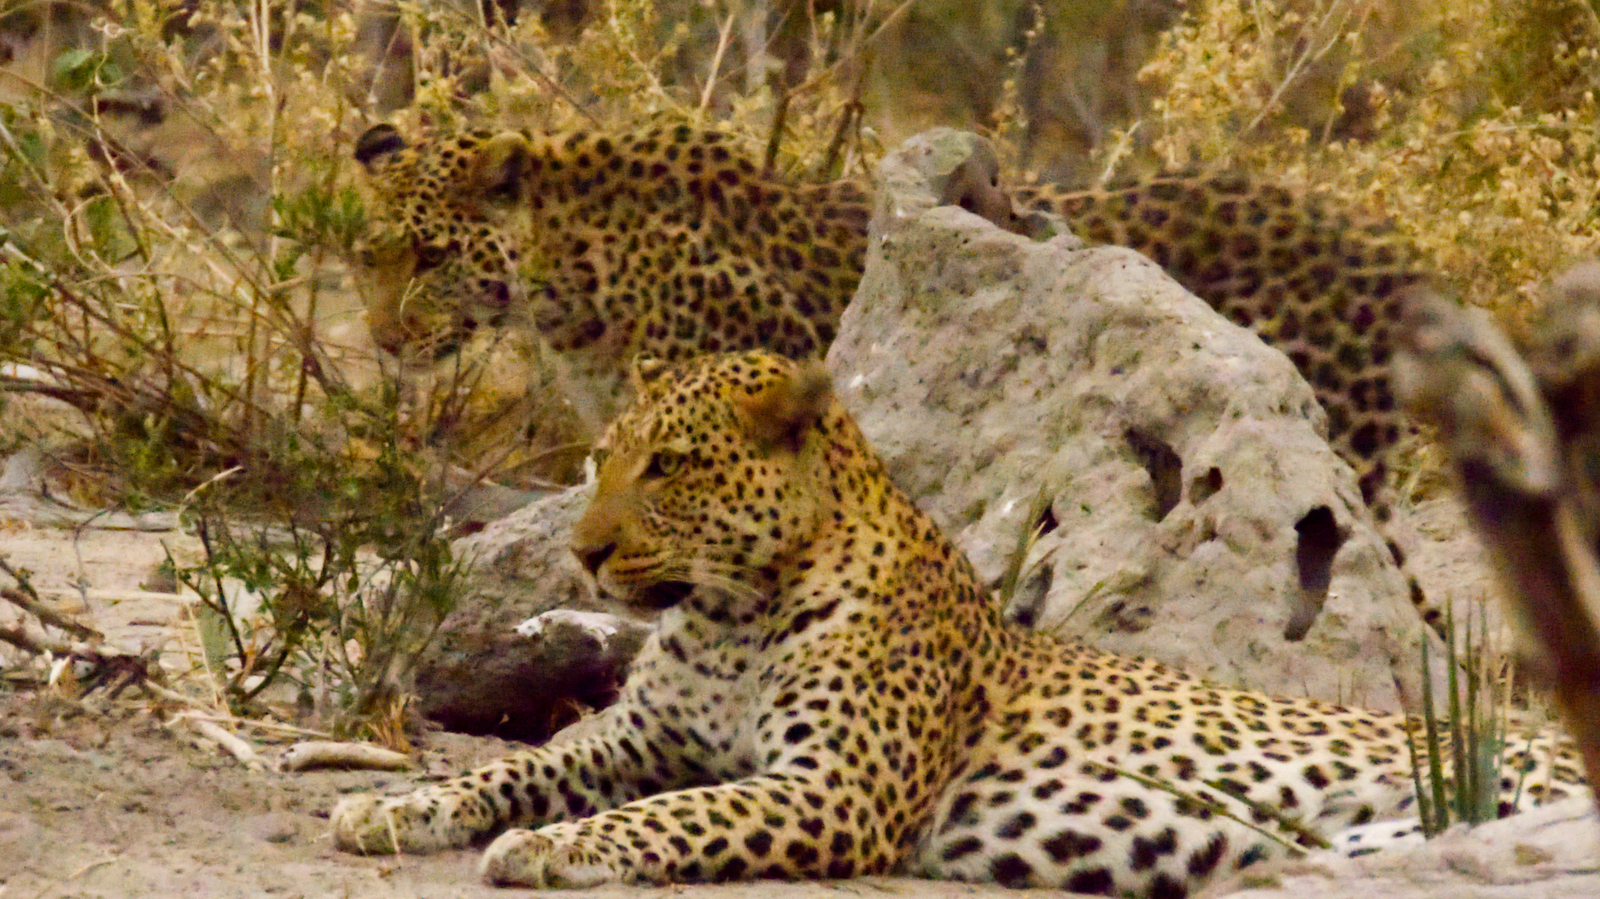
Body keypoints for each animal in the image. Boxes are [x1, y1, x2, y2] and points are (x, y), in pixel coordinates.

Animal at [328, 350, 1587, 889]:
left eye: (670, 464)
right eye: (599, 458)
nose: (584, 551)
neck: (730, 611)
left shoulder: (833, 786)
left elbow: (682, 811)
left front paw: (558, 846)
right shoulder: (638, 739)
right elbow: (517, 765)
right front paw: (394, 806)